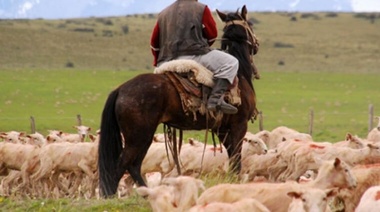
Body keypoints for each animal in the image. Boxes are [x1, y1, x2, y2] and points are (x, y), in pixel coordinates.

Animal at [98, 4, 260, 197]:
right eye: (250, 24)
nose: (256, 45)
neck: (240, 73)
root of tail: (120, 89)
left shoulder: (223, 129)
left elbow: (232, 157)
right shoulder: (239, 125)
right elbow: (236, 159)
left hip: (144, 136)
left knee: (133, 166)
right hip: (137, 137)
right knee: (121, 166)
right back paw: (111, 196)